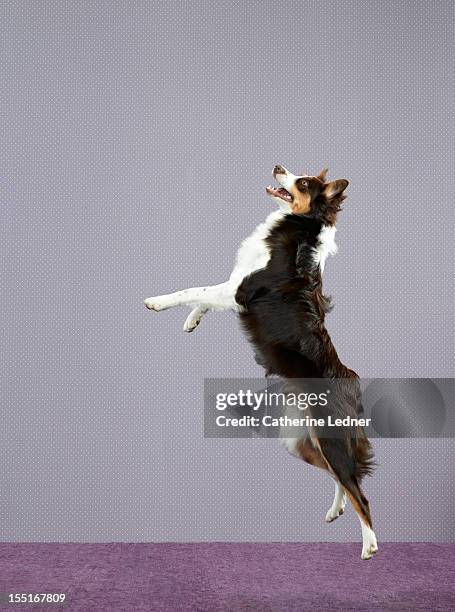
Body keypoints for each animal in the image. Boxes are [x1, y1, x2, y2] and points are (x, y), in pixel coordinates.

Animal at [145, 164, 378, 560]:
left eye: (303, 183)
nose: (278, 167)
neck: (299, 228)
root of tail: (351, 380)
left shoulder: (239, 289)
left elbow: (194, 290)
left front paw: (158, 302)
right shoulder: (232, 286)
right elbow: (202, 297)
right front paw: (192, 320)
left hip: (328, 437)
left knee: (359, 492)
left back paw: (370, 545)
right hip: (302, 442)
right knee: (342, 479)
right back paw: (336, 510)